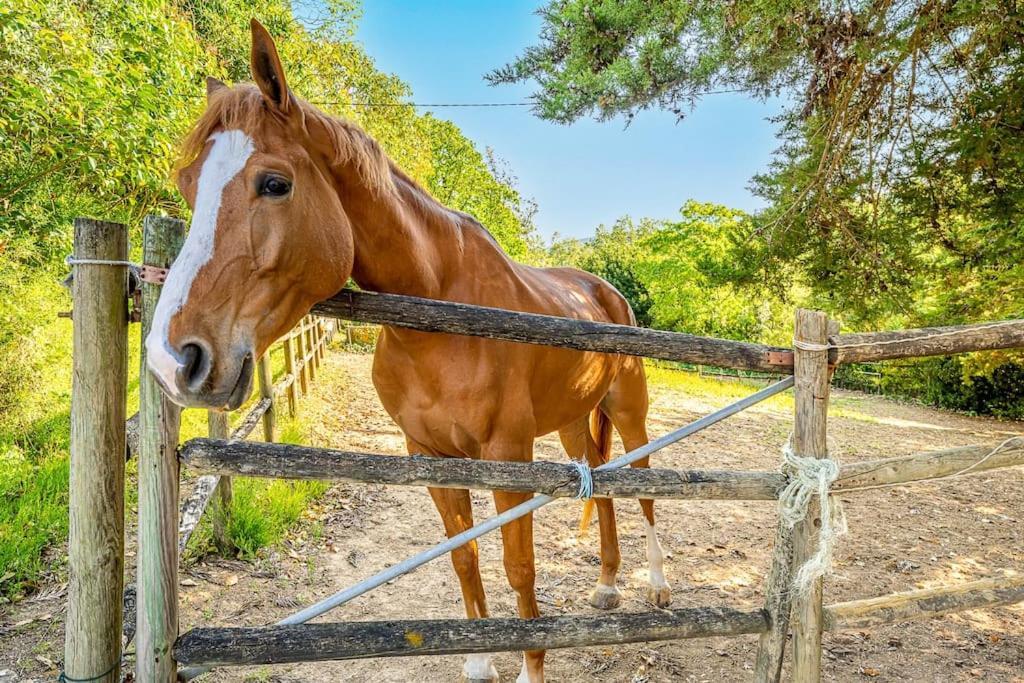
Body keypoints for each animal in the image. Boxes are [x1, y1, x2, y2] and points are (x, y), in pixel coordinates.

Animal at [146, 18, 671, 679]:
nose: (171, 359)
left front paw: (529, 665)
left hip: (628, 410)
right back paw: (605, 586)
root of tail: (605, 293)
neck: (440, 309)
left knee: (646, 487)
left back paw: (658, 587)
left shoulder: (508, 456)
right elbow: (464, 559)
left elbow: (518, 569)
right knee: (600, 485)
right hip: (576, 420)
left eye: (274, 183)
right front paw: (478, 662)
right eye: (188, 186)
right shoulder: (430, 456)